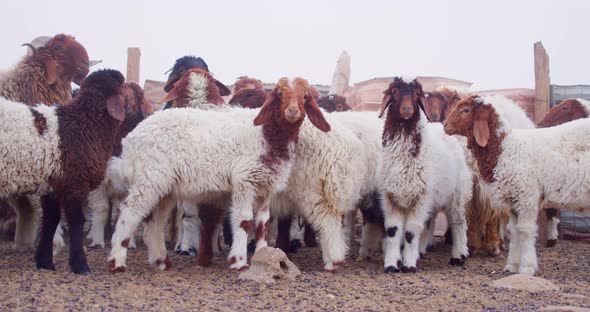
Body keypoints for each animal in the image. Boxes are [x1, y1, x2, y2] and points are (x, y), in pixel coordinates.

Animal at [0, 68, 128, 272]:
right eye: (122, 86)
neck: (85, 123)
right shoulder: (75, 182)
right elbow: (76, 221)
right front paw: (80, 265)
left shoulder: (52, 184)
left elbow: (51, 220)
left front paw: (45, 262)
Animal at [108, 75, 330, 270]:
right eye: (279, 94)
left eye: (305, 96)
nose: (292, 111)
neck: (265, 135)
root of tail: (131, 139)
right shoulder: (244, 180)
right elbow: (244, 221)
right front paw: (239, 262)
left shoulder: (266, 186)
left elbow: (263, 224)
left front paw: (263, 256)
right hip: (149, 178)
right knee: (129, 212)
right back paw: (117, 261)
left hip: (165, 186)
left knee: (155, 221)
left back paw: (161, 262)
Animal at [380, 77, 472, 272]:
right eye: (394, 92)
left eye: (417, 95)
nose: (407, 109)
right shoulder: (390, 196)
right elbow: (393, 230)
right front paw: (391, 264)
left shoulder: (419, 197)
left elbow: (410, 231)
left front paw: (408, 265)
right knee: (429, 222)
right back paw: (421, 252)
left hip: (457, 193)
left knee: (459, 222)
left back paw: (459, 256)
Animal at [446, 95, 590, 276]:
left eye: (465, 110)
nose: (444, 125)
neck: (506, 148)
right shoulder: (512, 200)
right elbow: (514, 231)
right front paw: (512, 266)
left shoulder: (526, 197)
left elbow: (525, 231)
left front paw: (527, 267)